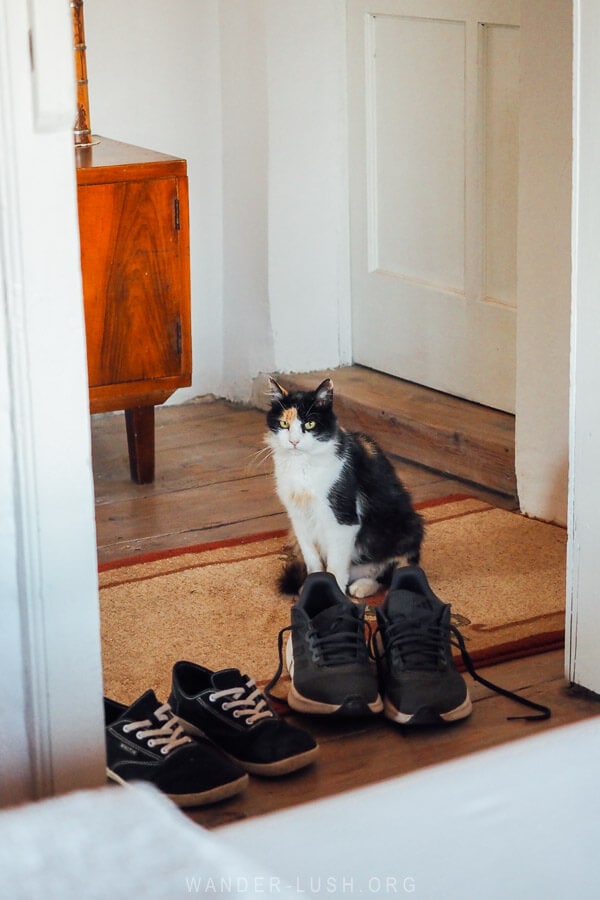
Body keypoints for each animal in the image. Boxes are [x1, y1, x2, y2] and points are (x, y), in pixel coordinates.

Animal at [264, 378, 424, 596]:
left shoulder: (344, 520)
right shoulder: (297, 518)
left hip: (410, 527)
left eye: (310, 424)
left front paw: (333, 595)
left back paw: (362, 587)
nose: (294, 441)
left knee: (393, 572)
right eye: (284, 423)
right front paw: (312, 589)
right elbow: (312, 559)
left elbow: (336, 566)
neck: (303, 467)